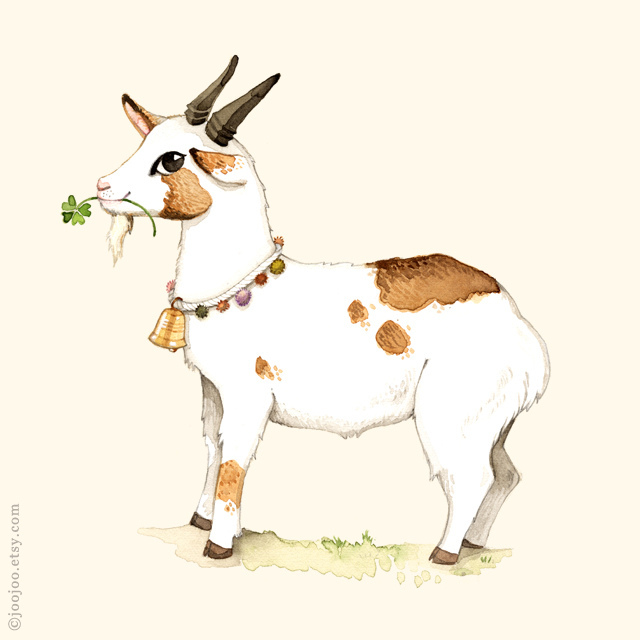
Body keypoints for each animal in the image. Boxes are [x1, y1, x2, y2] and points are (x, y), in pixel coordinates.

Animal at [97, 56, 549, 565]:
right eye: (146, 141)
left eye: (172, 159)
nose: (103, 186)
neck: (246, 284)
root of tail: (522, 330)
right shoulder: (213, 393)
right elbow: (213, 450)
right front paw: (201, 520)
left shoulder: (249, 397)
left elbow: (235, 463)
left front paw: (219, 545)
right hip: (493, 423)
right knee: (507, 475)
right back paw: (473, 543)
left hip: (451, 417)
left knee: (473, 478)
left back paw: (444, 553)